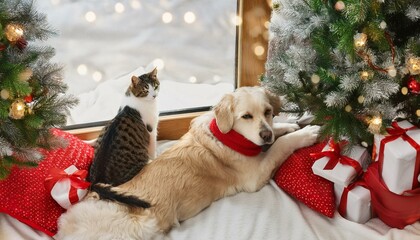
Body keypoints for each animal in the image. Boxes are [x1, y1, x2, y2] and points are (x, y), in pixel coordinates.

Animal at [55, 86, 318, 240]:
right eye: (246, 116)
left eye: (268, 112)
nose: (265, 134)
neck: (227, 135)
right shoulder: (254, 175)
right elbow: (279, 147)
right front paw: (305, 134)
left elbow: (278, 137)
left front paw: (288, 125)